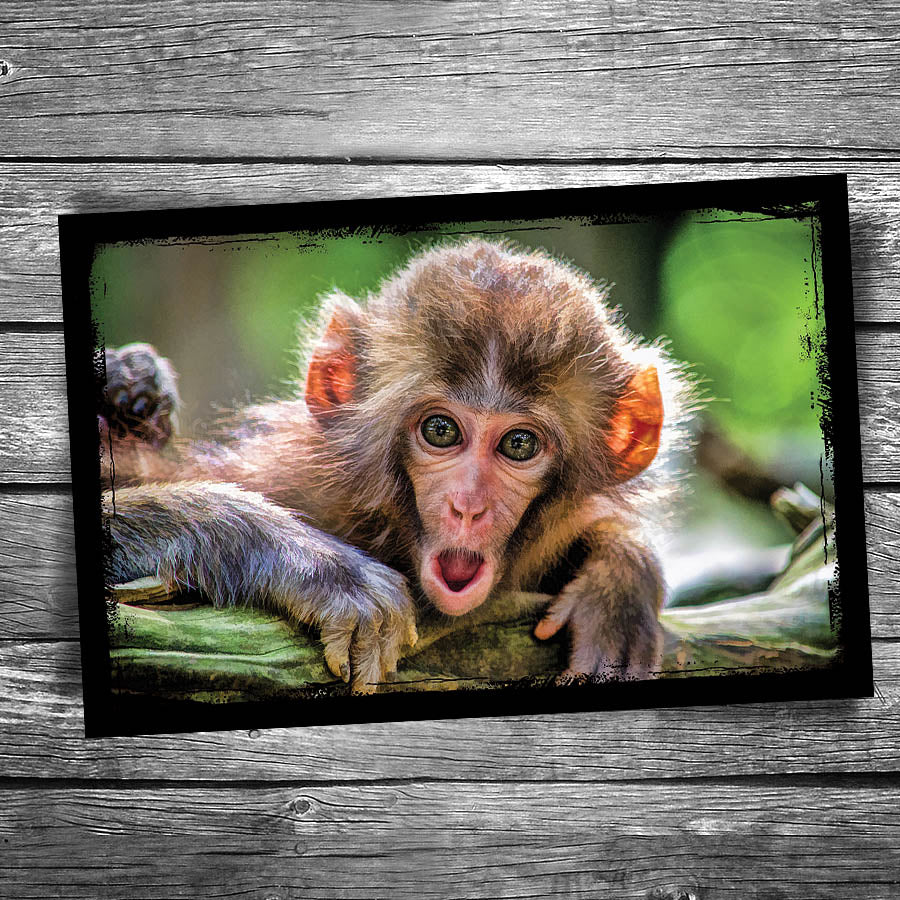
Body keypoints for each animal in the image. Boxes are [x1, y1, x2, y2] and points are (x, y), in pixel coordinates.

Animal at [99, 239, 690, 693]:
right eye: (441, 431)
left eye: (519, 444)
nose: (468, 506)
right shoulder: (287, 478)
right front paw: (319, 567)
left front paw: (619, 578)